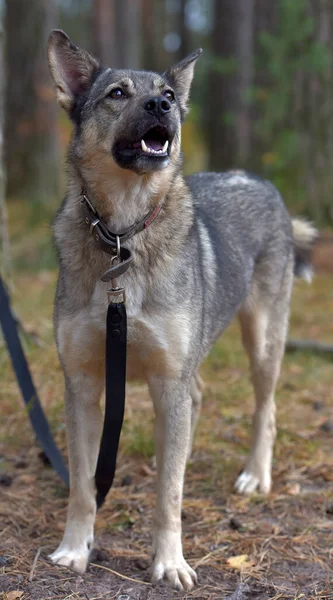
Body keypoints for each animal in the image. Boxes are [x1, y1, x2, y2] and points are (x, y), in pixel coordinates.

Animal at [46, 30, 316, 588]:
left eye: (167, 93)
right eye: (118, 94)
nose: (162, 106)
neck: (123, 238)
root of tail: (262, 181)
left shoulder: (167, 382)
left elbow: (169, 493)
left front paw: (170, 563)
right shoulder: (82, 384)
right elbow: (83, 486)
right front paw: (74, 549)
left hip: (261, 343)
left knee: (266, 410)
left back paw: (256, 475)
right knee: (199, 397)